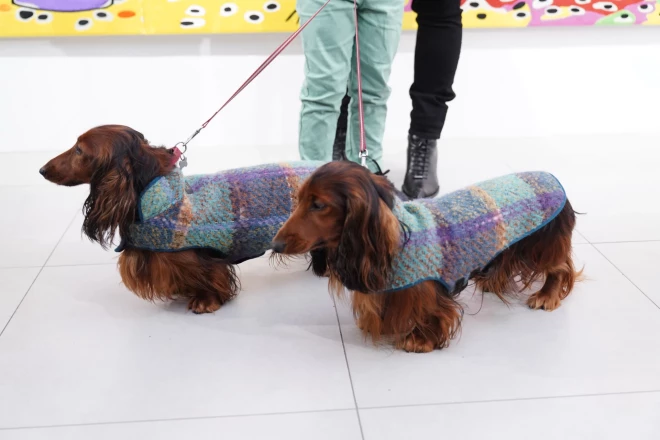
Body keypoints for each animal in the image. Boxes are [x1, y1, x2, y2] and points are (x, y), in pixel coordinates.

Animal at [270, 162, 580, 354]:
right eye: (298, 199)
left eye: (318, 204)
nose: (275, 244)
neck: (394, 238)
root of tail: (552, 176)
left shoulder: (426, 288)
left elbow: (430, 312)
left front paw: (419, 340)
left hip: (545, 245)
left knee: (560, 269)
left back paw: (547, 296)